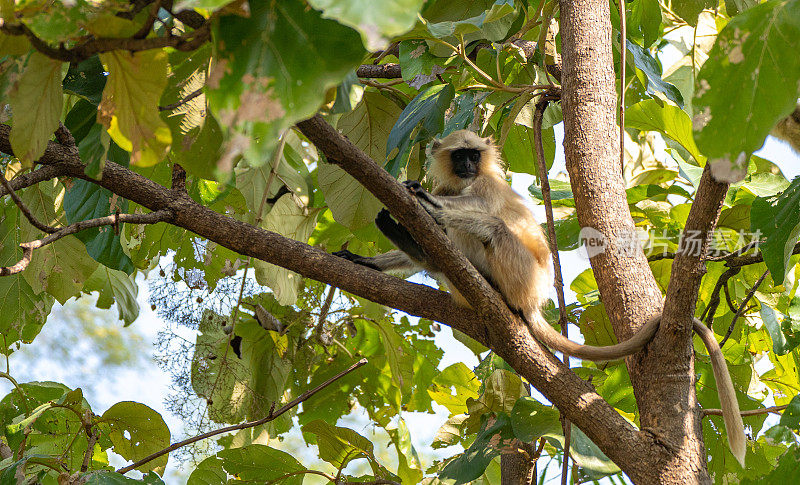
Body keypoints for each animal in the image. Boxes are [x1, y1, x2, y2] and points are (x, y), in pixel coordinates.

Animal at [334, 130, 748, 466]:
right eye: (459, 156)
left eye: (473, 155)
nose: (467, 166)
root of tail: (533, 301)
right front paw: (368, 260)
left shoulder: (486, 186)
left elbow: (472, 208)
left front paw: (427, 206)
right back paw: (422, 252)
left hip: (522, 275)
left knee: (491, 226)